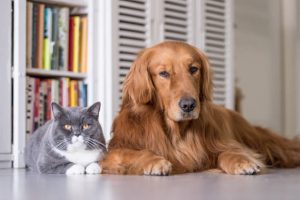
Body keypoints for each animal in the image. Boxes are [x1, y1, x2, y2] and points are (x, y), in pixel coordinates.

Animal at [100, 40, 300, 175]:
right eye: (163, 73)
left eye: (193, 69)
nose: (188, 105)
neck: (177, 132)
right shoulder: (113, 151)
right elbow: (130, 153)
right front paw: (154, 161)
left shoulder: (222, 143)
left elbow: (229, 151)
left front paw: (241, 161)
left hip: (262, 141)